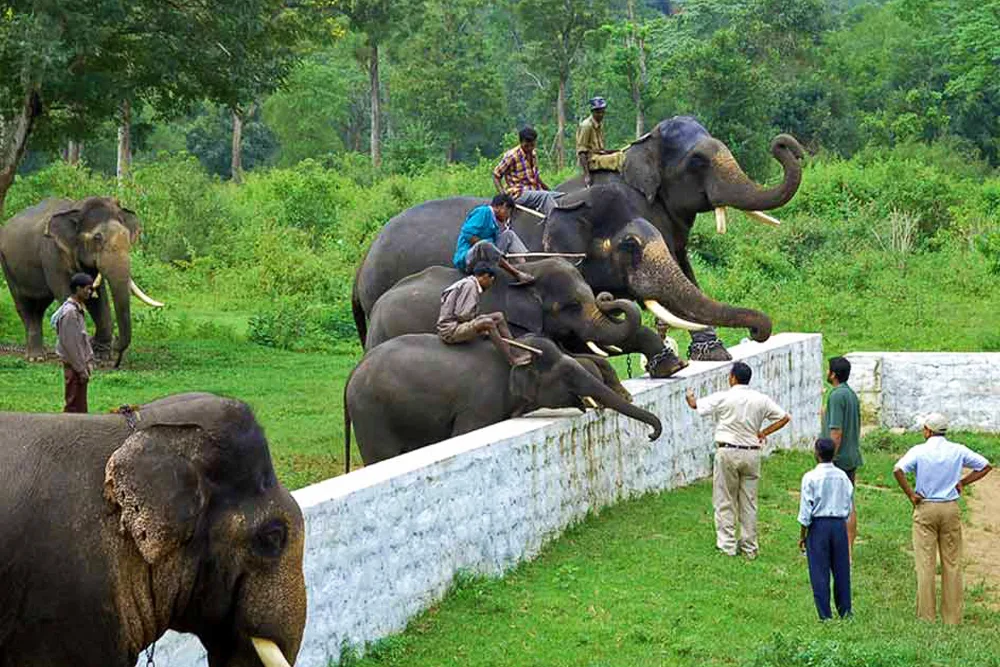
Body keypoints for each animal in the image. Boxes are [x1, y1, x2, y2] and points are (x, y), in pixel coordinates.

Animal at [0, 196, 164, 364]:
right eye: (97, 237)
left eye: (126, 235)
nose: (117, 342)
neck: (77, 207)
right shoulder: (52, 254)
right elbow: (67, 293)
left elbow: (98, 298)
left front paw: (101, 356)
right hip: (7, 266)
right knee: (24, 306)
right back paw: (36, 357)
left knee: (39, 307)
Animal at [344, 333, 662, 468]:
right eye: (568, 374)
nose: (651, 435)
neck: (517, 351)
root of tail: (351, 376)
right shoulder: (479, 404)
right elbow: (464, 432)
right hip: (371, 414)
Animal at [351, 116, 803, 362]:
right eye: (697, 161)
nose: (785, 144)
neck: (635, 151)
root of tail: (362, 264)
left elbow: (683, 273)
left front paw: (713, 354)